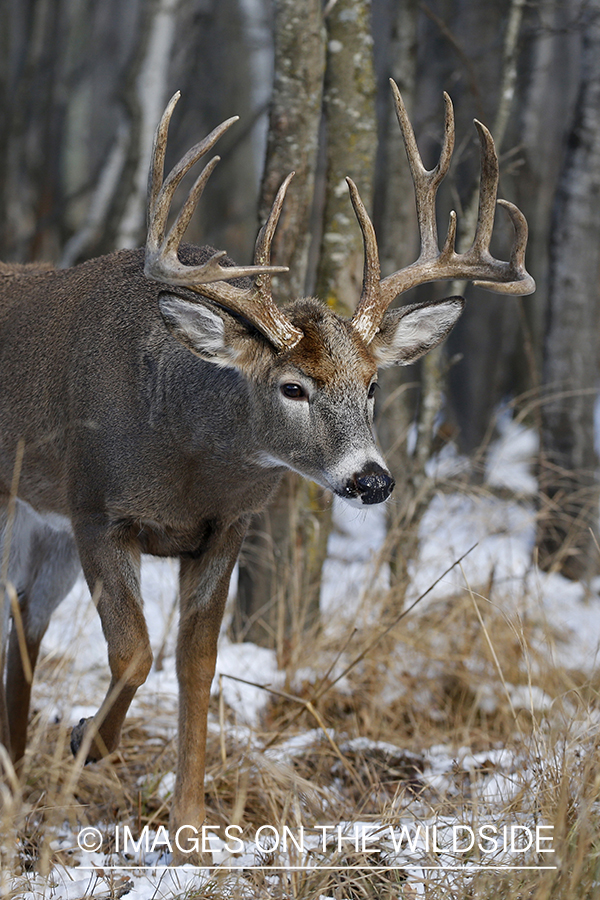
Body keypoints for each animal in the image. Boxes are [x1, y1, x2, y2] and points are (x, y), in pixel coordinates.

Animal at [0, 84, 536, 864]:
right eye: (293, 387)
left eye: (373, 383)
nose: (372, 480)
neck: (186, 457)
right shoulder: (98, 508)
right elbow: (133, 652)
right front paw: (83, 742)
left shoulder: (226, 526)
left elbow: (196, 661)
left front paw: (190, 832)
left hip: (44, 530)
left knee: (24, 623)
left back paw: (12, 781)